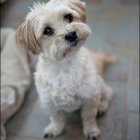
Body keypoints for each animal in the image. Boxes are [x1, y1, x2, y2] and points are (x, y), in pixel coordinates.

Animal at [16, 0, 114, 139]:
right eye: (47, 30)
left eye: (68, 17)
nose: (71, 34)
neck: (64, 66)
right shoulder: (49, 103)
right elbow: (57, 119)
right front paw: (54, 129)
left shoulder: (90, 97)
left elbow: (89, 117)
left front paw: (91, 130)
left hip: (100, 84)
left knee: (108, 93)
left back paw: (101, 107)